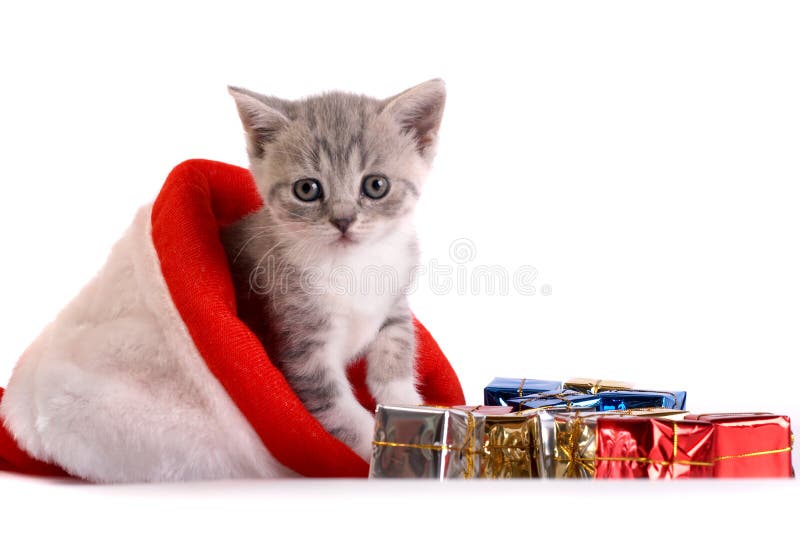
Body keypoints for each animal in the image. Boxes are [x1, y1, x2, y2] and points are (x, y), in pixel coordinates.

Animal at [220, 79, 444, 458]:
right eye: (307, 189)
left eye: (376, 185)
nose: (343, 220)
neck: (351, 266)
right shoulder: (302, 345)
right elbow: (338, 410)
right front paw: (377, 448)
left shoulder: (396, 302)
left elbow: (397, 346)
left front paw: (406, 405)